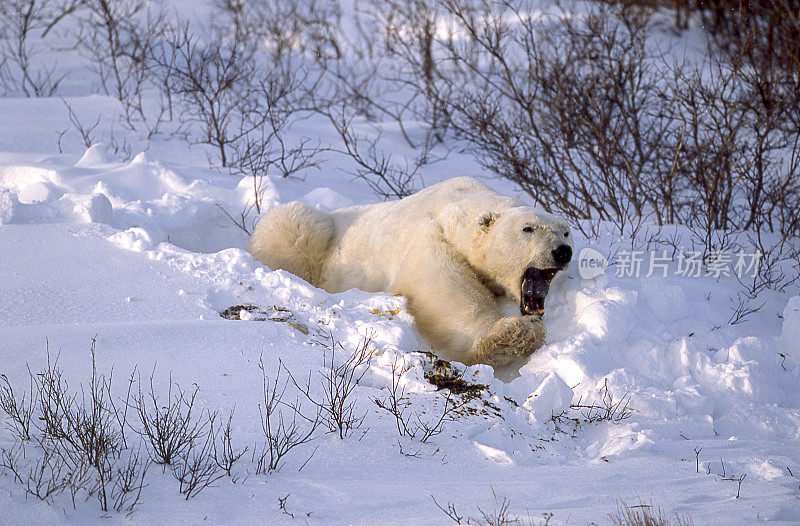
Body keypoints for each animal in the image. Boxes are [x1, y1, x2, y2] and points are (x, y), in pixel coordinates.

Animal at [247, 178, 572, 368]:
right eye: (528, 228)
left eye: (566, 231)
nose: (563, 251)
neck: (461, 203)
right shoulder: (428, 237)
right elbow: (444, 286)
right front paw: (510, 336)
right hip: (317, 231)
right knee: (296, 225)